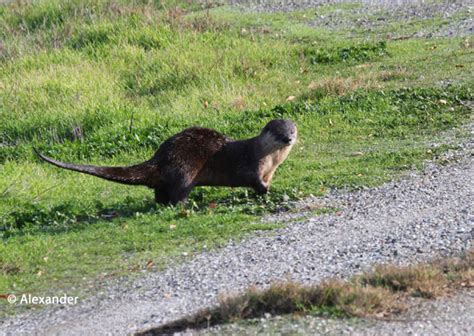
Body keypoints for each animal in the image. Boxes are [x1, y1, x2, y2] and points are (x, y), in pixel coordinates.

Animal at [36, 121, 296, 205]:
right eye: (278, 132)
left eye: (292, 129)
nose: (289, 138)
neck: (269, 161)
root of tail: (158, 159)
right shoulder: (251, 165)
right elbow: (252, 180)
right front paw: (265, 191)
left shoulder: (269, 171)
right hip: (184, 170)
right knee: (177, 193)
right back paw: (185, 204)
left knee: (159, 193)